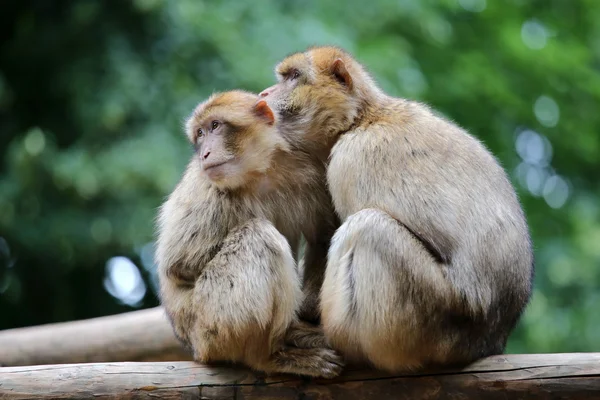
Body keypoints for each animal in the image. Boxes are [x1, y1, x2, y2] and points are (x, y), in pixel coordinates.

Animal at [155, 90, 342, 378]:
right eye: (200, 133)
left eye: (215, 126)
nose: (205, 153)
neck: (259, 172)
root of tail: (194, 347)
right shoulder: (206, 187)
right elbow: (180, 265)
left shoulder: (308, 171)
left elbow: (321, 237)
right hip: (208, 326)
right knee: (257, 235)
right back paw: (268, 356)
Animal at [258, 46, 536, 372]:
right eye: (283, 77)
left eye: (293, 77)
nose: (264, 93)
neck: (360, 119)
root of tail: (490, 340)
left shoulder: (350, 159)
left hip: (429, 318)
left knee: (368, 228)